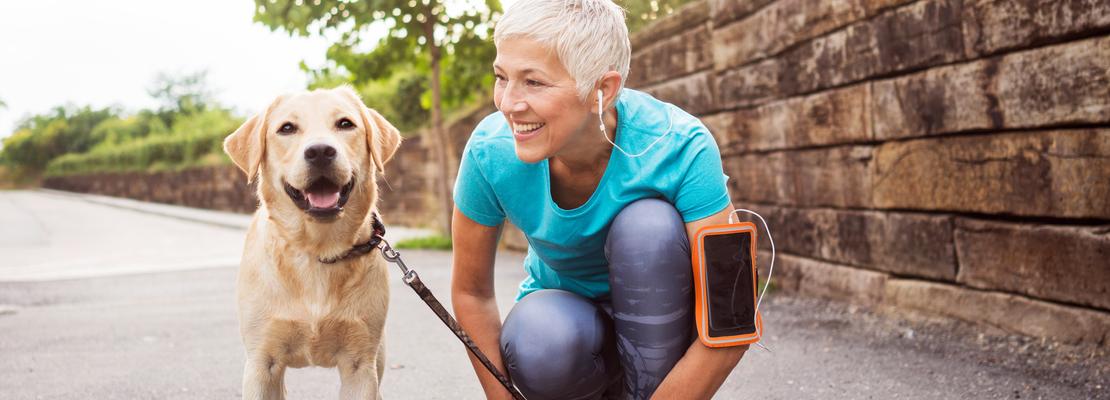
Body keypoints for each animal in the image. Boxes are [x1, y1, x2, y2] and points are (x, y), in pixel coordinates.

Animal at [223, 86, 401, 397]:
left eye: (345, 123)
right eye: (287, 128)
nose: (319, 152)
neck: (317, 251)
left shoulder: (360, 366)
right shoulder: (261, 364)